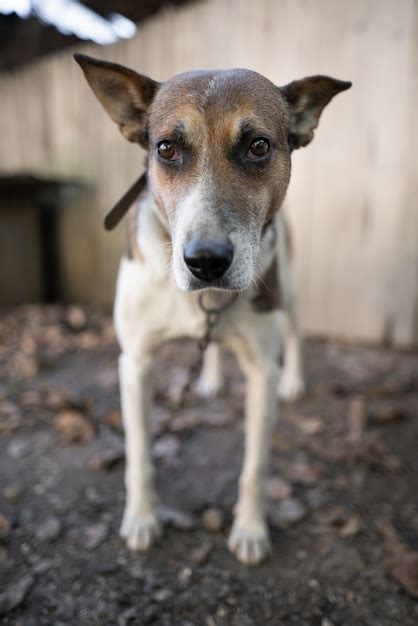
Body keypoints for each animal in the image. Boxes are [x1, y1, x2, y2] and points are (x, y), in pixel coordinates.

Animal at [75, 52, 350, 560]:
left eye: (258, 146)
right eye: (166, 149)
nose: (206, 261)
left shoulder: (261, 370)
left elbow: (255, 466)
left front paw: (250, 529)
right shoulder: (135, 362)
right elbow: (139, 453)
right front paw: (141, 518)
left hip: (291, 289)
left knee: (297, 335)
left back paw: (295, 380)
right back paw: (210, 379)